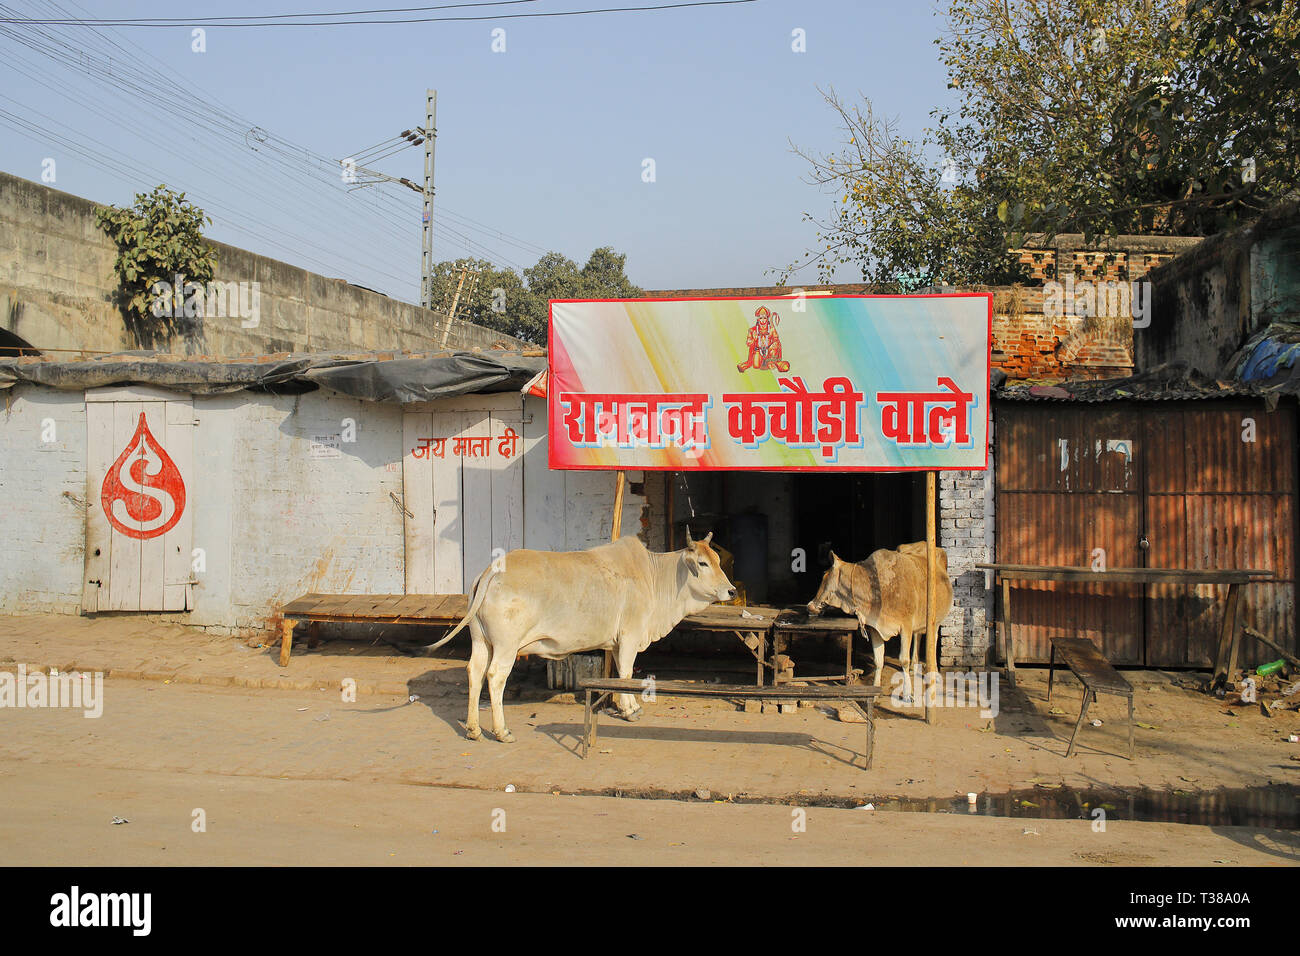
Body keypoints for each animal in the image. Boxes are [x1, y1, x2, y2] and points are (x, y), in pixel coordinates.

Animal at [427, 531, 736, 743]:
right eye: (702, 563)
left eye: (717, 559)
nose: (731, 591)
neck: (655, 577)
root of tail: (493, 570)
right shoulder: (630, 636)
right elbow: (626, 674)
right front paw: (630, 710)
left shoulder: (617, 643)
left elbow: (618, 675)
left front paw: (624, 705)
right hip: (506, 646)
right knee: (494, 677)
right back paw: (501, 731)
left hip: (482, 642)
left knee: (475, 672)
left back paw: (473, 729)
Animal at [805, 541, 953, 702]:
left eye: (824, 576)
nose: (810, 606)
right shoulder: (875, 629)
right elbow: (878, 660)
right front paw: (875, 691)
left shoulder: (906, 626)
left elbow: (903, 660)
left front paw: (908, 693)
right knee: (918, 636)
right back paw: (914, 666)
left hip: (936, 620)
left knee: (933, 640)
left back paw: (934, 673)